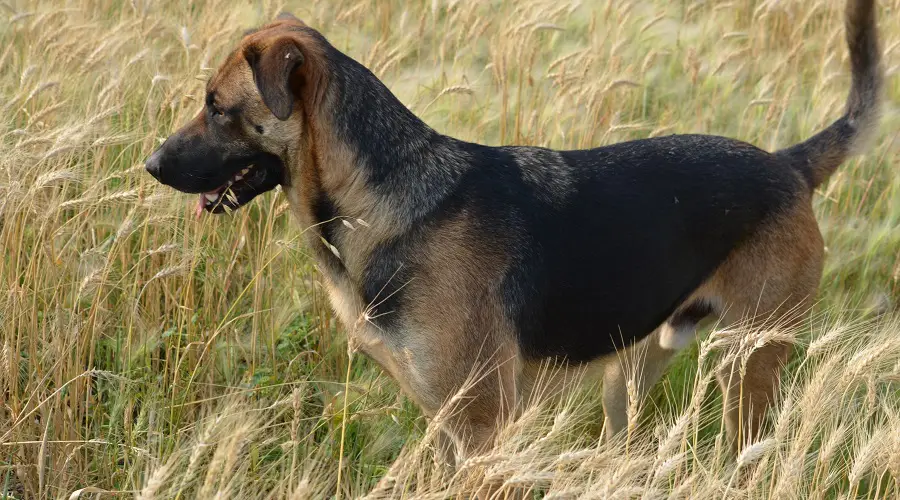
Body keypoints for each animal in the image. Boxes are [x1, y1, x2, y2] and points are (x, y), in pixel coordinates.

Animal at [144, 0, 884, 464]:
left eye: (217, 107)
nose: (149, 165)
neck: (380, 196)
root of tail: (788, 165)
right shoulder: (450, 423)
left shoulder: (480, 424)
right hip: (632, 373)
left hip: (746, 368)